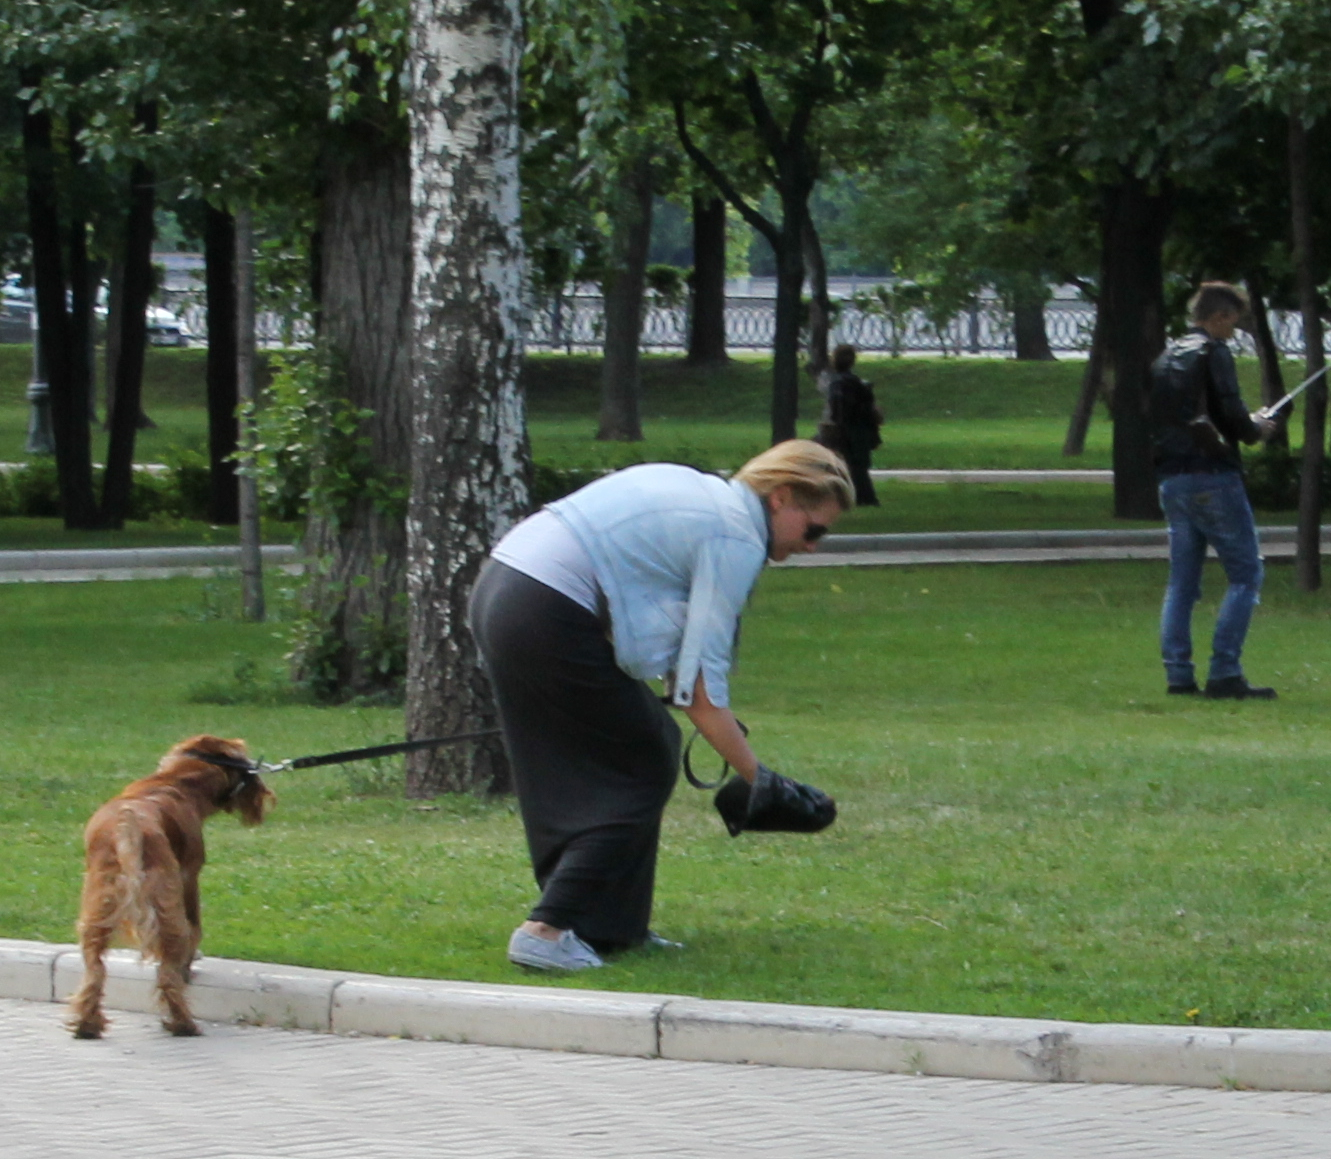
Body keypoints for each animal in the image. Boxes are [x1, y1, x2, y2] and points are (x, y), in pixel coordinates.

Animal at [68, 734, 276, 1043]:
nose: (265, 795)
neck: (176, 781)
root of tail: (125, 827)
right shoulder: (189, 878)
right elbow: (196, 928)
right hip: (166, 907)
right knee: (167, 972)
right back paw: (183, 1023)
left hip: (98, 907)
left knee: (95, 970)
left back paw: (87, 1025)